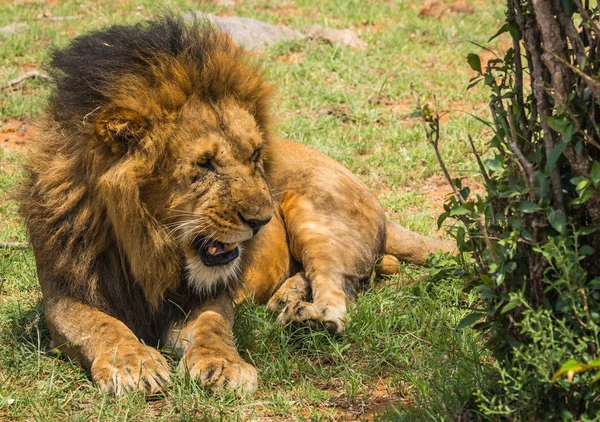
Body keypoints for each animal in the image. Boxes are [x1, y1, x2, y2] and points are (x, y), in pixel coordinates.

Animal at [16, 14, 452, 396]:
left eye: (255, 155)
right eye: (205, 164)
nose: (261, 221)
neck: (146, 247)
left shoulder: (207, 295)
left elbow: (213, 326)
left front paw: (223, 366)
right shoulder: (63, 295)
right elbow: (101, 325)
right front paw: (134, 364)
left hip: (319, 216)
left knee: (341, 289)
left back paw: (312, 319)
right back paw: (288, 299)